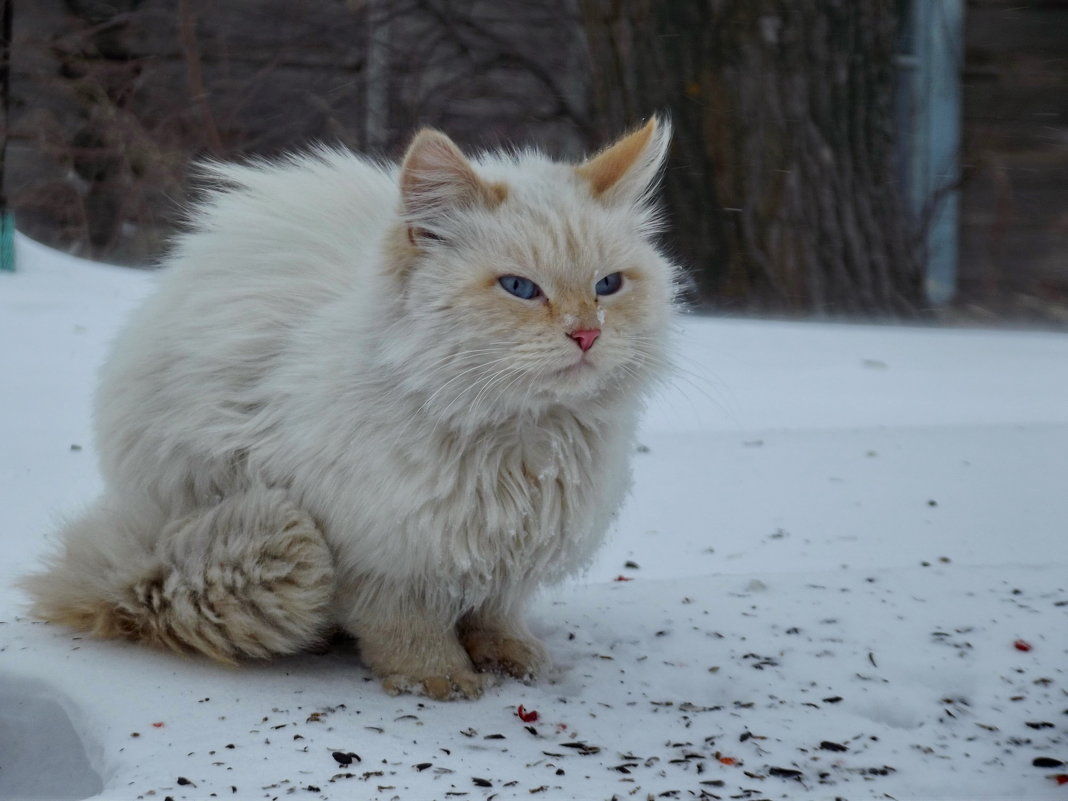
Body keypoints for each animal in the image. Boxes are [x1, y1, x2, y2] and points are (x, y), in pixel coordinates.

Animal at [22, 115, 674, 700]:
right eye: (520, 289)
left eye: (609, 285)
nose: (587, 334)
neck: (523, 439)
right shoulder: (382, 553)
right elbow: (406, 627)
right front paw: (437, 677)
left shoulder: (508, 551)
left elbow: (495, 614)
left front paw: (513, 657)